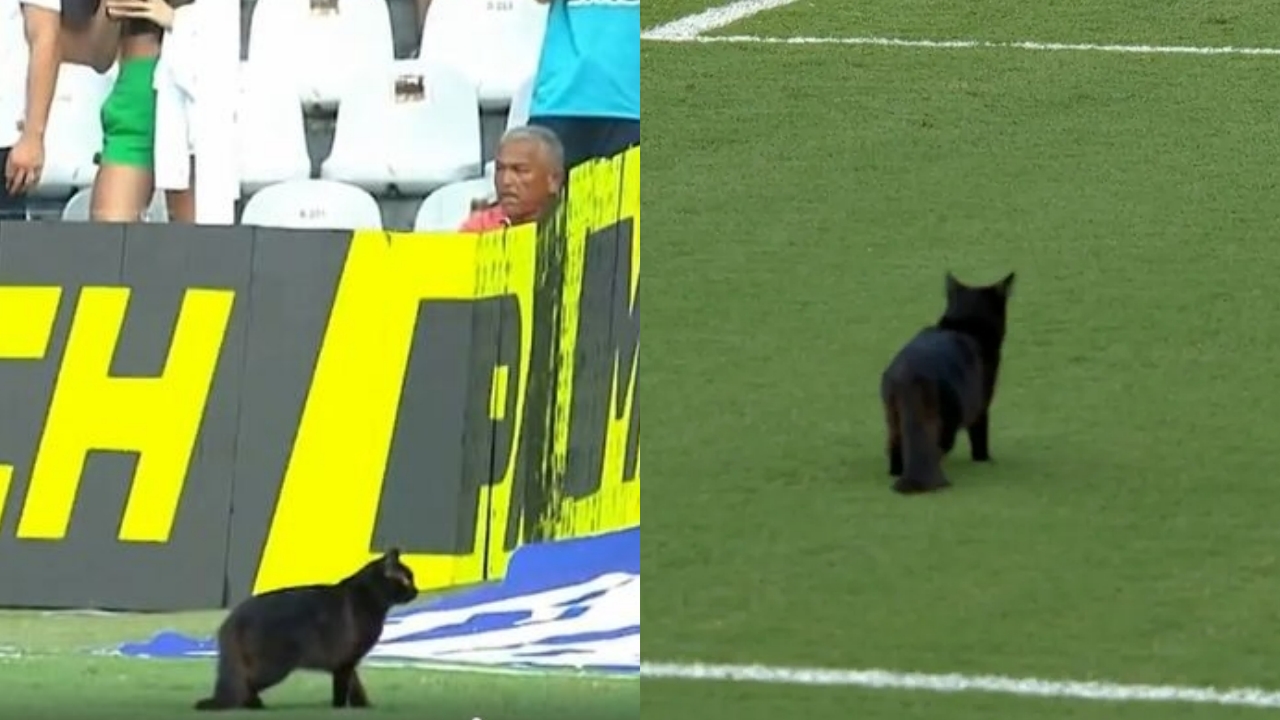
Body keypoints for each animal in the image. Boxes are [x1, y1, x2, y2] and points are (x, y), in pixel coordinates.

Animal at [192, 548, 417, 707]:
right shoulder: (345, 661)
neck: (370, 597)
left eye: (412, 579)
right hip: (275, 666)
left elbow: (356, 686)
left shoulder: (348, 661)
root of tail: (233, 617)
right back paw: (254, 705)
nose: (416, 590)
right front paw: (340, 709)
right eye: (406, 580)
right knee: (246, 685)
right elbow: (342, 689)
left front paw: (364, 707)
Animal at [880, 270, 1008, 491]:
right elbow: (980, 438)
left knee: (895, 447)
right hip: (948, 419)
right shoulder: (981, 407)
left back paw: (897, 473)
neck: (962, 326)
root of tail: (912, 373)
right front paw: (984, 460)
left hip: (893, 417)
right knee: (935, 450)